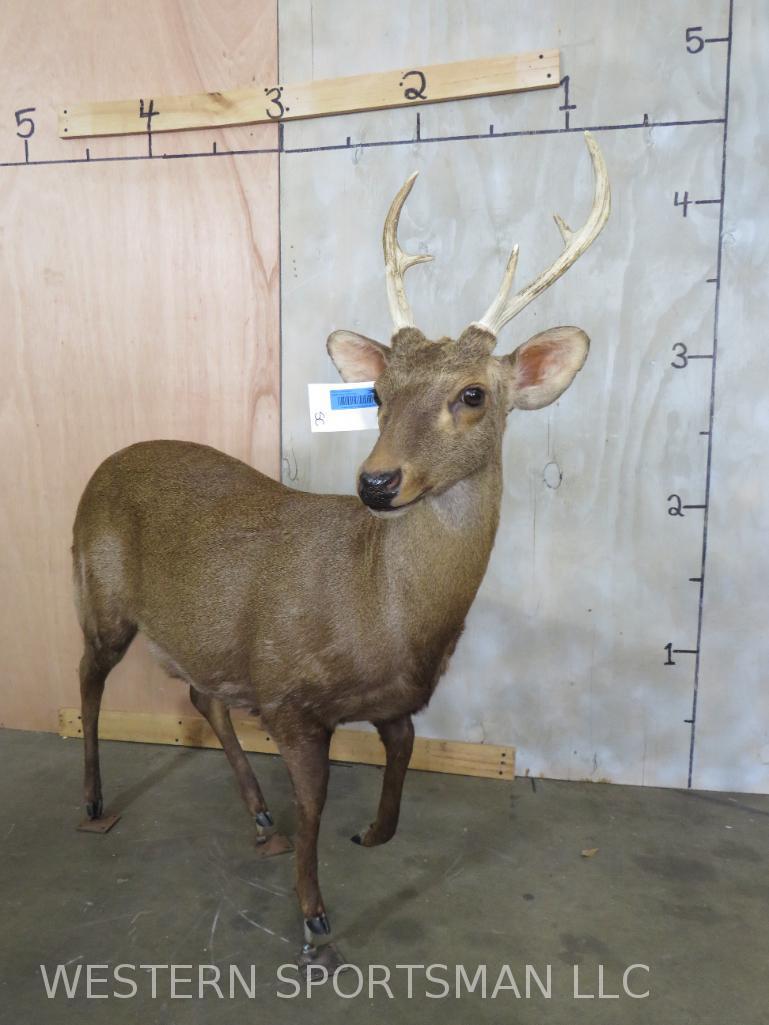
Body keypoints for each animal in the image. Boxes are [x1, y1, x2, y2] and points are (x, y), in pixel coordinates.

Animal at [72, 131, 609, 969]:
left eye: (471, 394)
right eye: (379, 395)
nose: (377, 480)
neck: (386, 615)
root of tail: (102, 466)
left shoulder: (390, 697)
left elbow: (403, 754)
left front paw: (374, 831)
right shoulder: (289, 692)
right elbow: (316, 801)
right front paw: (314, 916)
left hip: (202, 631)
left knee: (199, 694)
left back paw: (259, 819)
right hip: (96, 591)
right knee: (89, 677)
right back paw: (95, 799)